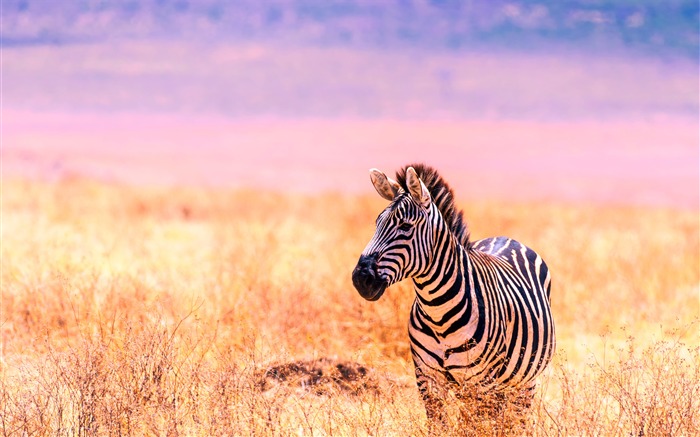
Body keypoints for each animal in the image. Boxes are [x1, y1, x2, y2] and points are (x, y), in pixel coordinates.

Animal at [352, 163, 556, 422]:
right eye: (377, 224)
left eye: (405, 226)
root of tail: (505, 238)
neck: (437, 311)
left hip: (523, 382)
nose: (360, 278)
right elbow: (440, 425)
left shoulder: (482, 383)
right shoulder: (427, 378)